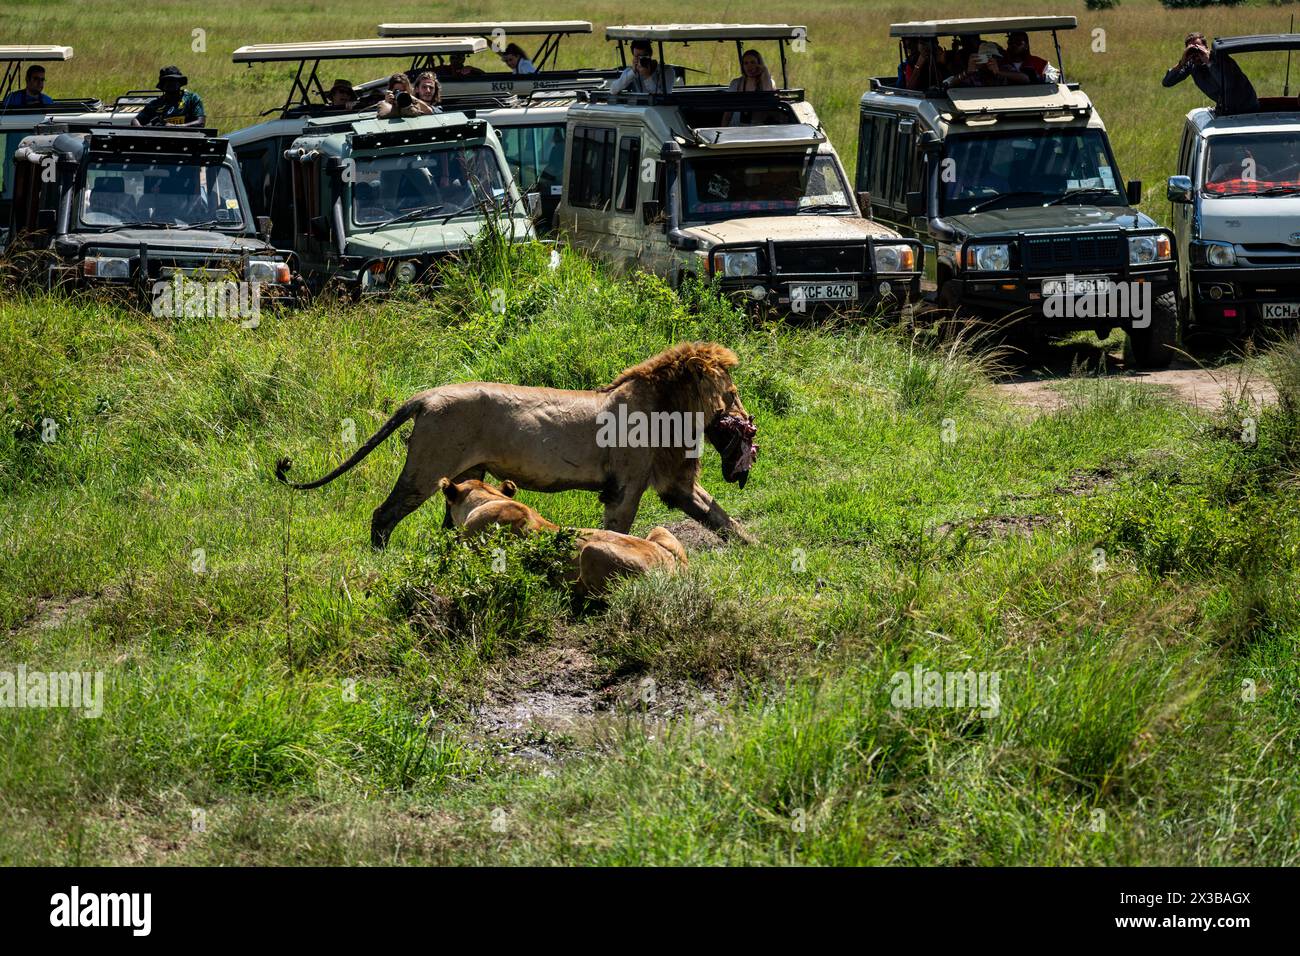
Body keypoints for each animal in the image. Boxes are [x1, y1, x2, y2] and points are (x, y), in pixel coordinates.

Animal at [279, 343, 759, 548]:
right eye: (733, 393)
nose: (751, 425)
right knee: (384, 514)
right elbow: (619, 526)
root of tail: (427, 396)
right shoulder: (625, 486)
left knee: (447, 521)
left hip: (465, 475)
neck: (671, 409)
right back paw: (380, 556)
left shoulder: (675, 482)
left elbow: (719, 515)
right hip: (425, 468)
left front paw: (754, 546)